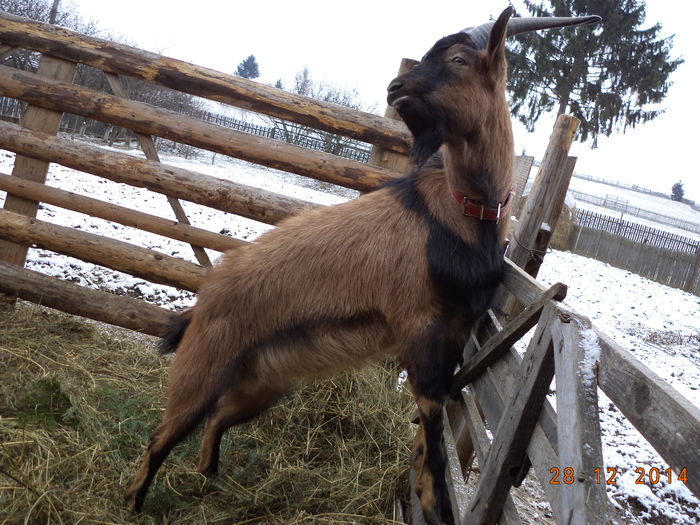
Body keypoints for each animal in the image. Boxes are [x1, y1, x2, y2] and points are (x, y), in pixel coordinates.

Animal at [124, 7, 596, 520]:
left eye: (458, 59)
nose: (395, 87)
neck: (458, 214)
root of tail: (204, 297)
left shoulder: (455, 329)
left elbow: (433, 411)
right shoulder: (417, 326)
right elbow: (431, 413)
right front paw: (433, 499)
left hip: (263, 379)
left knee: (216, 419)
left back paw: (211, 479)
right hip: (203, 365)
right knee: (162, 434)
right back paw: (133, 501)